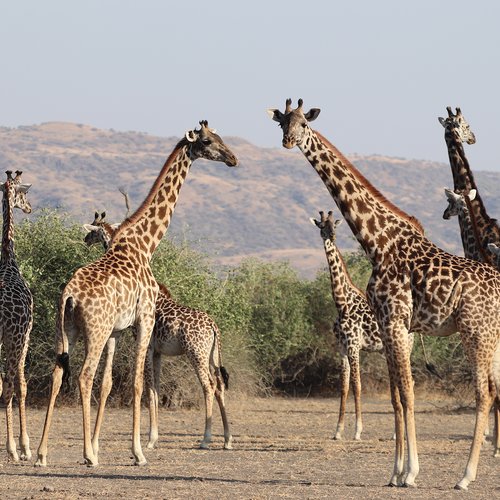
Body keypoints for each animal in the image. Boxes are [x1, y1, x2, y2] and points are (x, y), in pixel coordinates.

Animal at [83, 209, 232, 452]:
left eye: (93, 230)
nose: (85, 239)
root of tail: (213, 326)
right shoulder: (158, 351)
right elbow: (155, 389)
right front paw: (153, 437)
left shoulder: (148, 344)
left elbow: (149, 389)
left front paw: (150, 440)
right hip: (212, 355)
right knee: (219, 386)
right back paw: (227, 439)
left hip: (196, 353)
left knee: (208, 386)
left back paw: (205, 439)